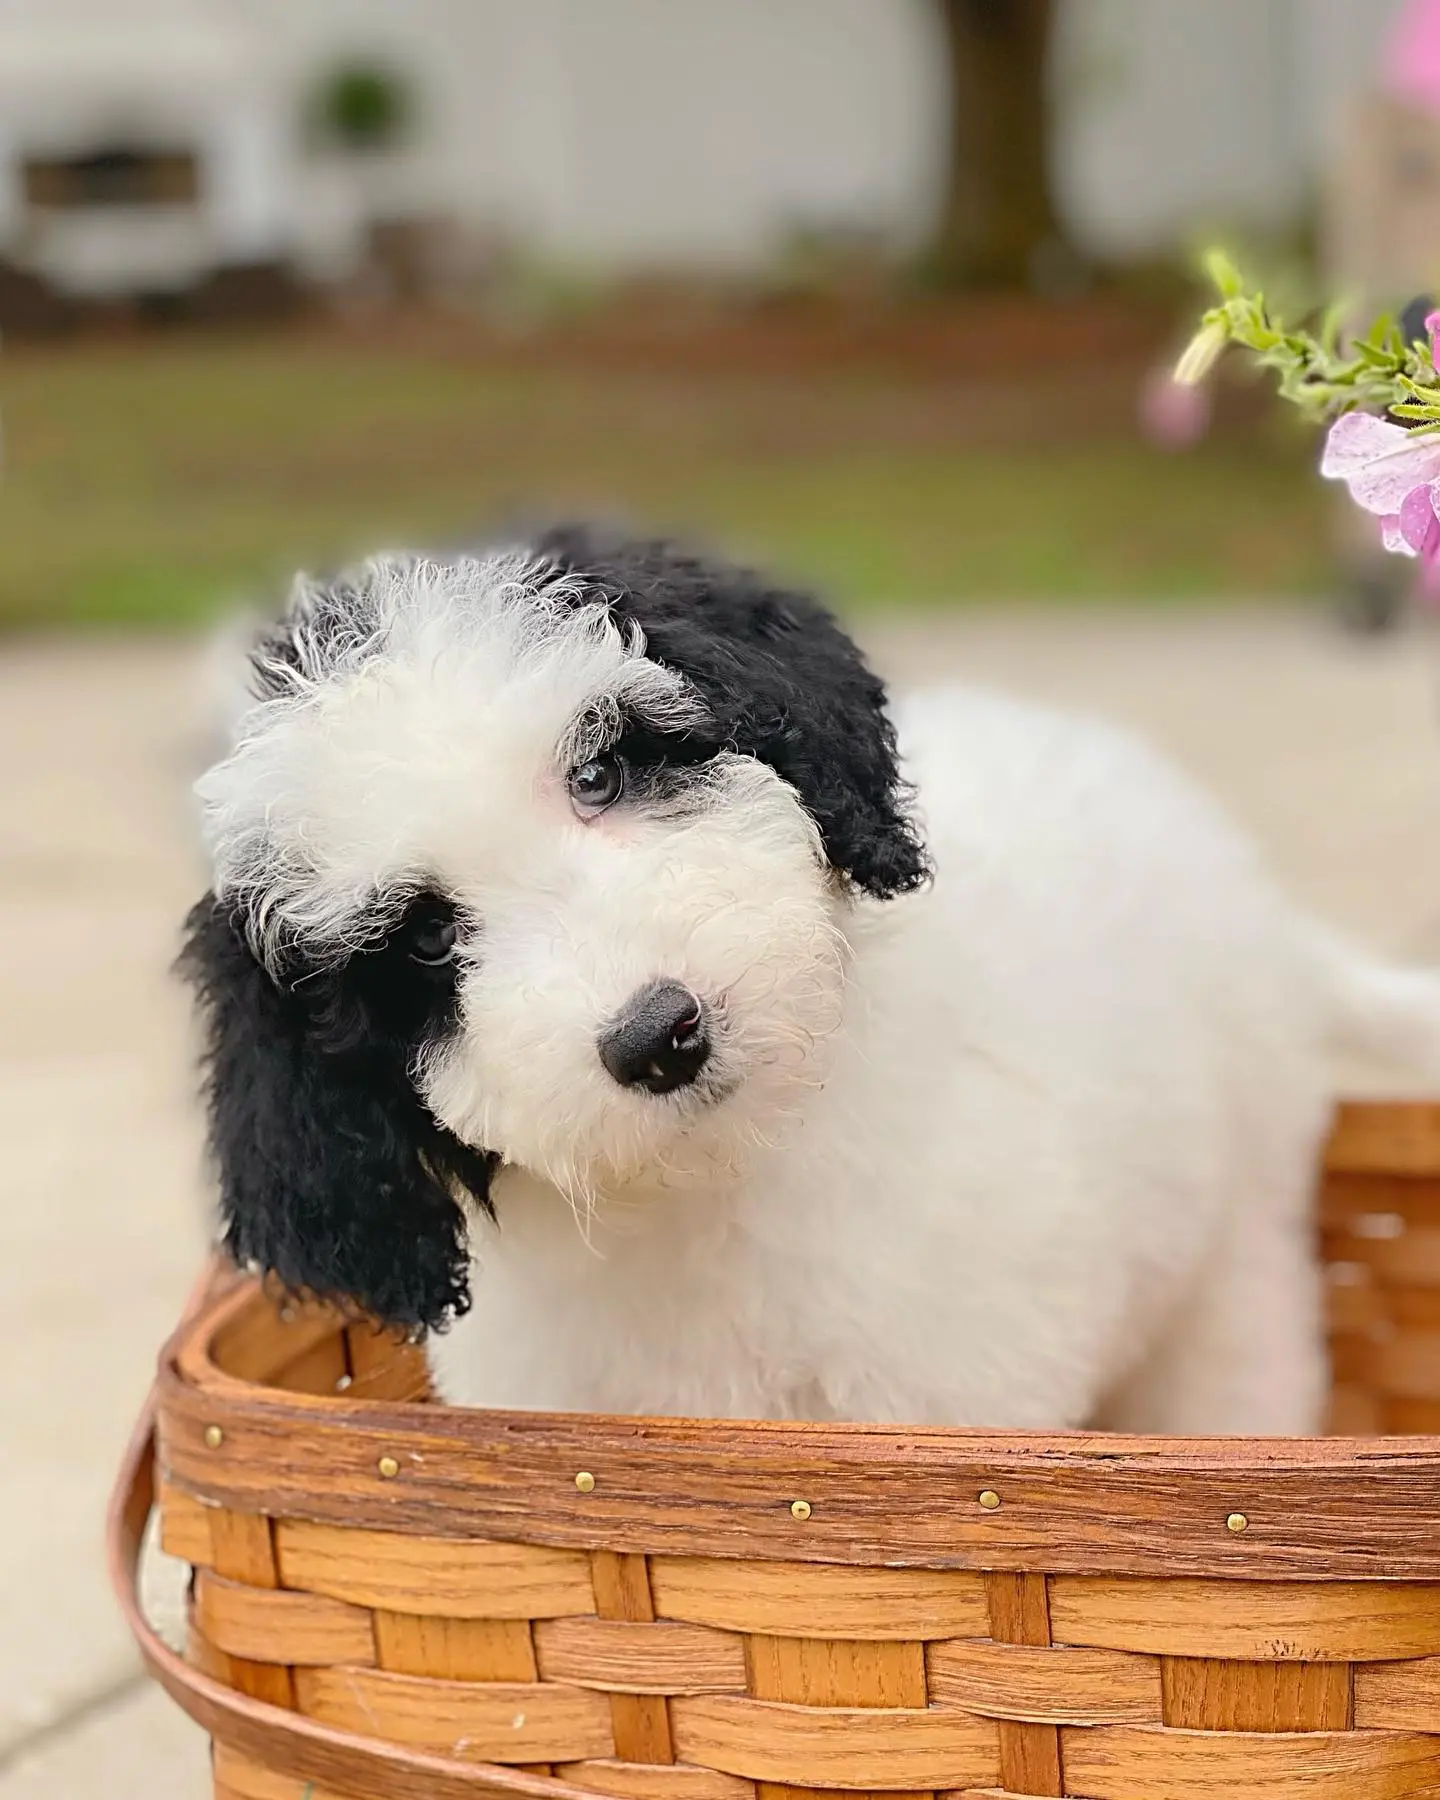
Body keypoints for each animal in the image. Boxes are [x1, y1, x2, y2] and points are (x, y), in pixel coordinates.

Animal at [182, 525, 1440, 1432]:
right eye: (426, 948)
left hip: (1237, 1213)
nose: (660, 1035)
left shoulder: (948, 1390)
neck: (720, 1182)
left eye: (598, 773)